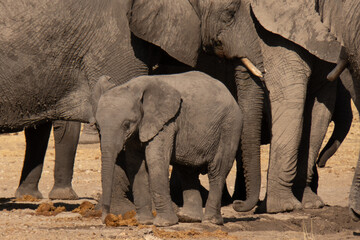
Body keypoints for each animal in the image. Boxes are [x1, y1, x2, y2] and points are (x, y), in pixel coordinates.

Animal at [93, 70, 243, 226]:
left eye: (126, 124)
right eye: (97, 126)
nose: (106, 219)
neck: (134, 87)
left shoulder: (166, 122)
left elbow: (155, 160)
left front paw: (164, 223)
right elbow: (135, 165)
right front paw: (144, 222)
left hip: (229, 126)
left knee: (217, 170)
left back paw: (211, 221)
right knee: (187, 171)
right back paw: (189, 218)